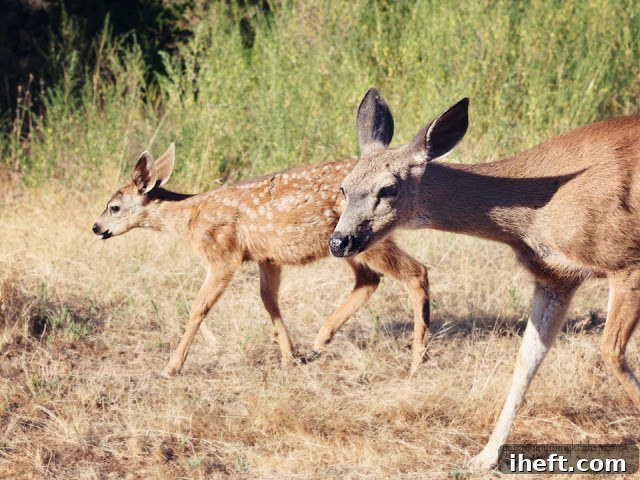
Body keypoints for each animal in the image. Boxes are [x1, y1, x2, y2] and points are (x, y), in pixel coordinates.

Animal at [92, 143, 431, 377]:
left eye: (114, 207)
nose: (96, 227)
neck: (191, 217)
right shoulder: (267, 256)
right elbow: (268, 299)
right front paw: (288, 356)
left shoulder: (223, 253)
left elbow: (199, 307)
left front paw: (171, 367)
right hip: (344, 243)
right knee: (369, 280)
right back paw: (318, 344)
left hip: (367, 236)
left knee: (416, 272)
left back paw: (418, 359)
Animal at [329, 88, 640, 469]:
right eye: (343, 188)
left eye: (388, 189)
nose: (339, 241)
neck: (537, 214)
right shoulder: (555, 277)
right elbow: (527, 359)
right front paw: (485, 457)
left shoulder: (626, 260)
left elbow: (611, 351)